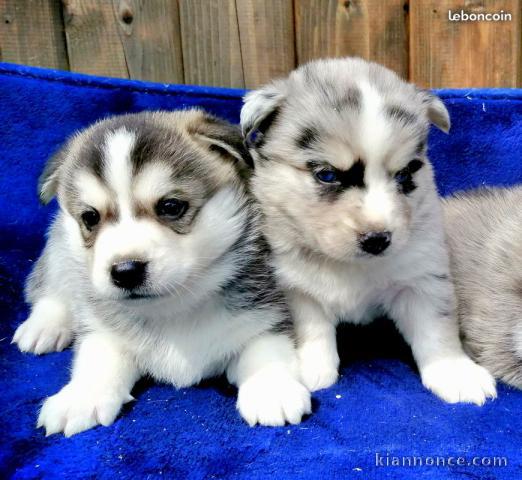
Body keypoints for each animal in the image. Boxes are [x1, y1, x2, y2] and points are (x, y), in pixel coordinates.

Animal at [13, 109, 308, 436]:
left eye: (171, 206)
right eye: (90, 217)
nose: (125, 271)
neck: (172, 308)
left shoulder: (267, 317)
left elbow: (266, 351)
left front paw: (271, 388)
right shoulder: (102, 330)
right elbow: (97, 358)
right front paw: (81, 396)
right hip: (60, 250)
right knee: (52, 287)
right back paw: (44, 326)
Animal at [240, 58, 496, 406]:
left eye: (404, 174)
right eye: (327, 174)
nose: (377, 240)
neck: (351, 266)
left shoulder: (421, 279)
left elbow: (436, 329)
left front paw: (455, 372)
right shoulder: (295, 287)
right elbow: (312, 327)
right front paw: (310, 369)